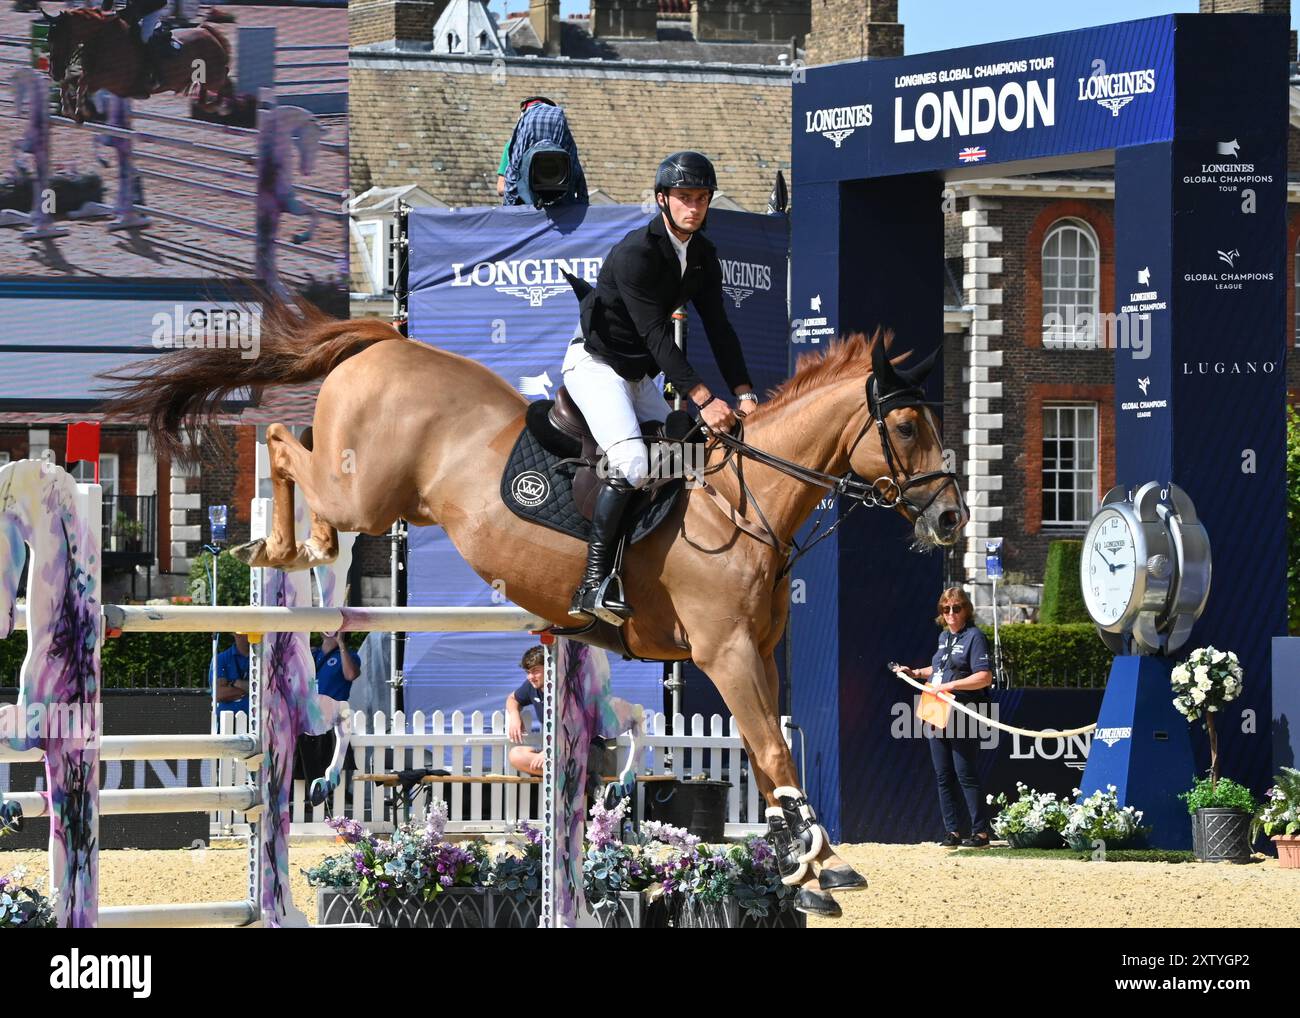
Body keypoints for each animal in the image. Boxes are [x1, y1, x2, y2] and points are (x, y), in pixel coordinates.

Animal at [40, 6, 232, 121]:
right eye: (48, 39)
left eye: (63, 39)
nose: (54, 73)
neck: (104, 40)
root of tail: (207, 31)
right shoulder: (95, 76)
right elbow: (70, 81)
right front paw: (68, 109)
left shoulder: (113, 80)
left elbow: (82, 82)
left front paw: (81, 110)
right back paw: (207, 103)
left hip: (214, 76)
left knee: (225, 80)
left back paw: (220, 107)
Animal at [109, 300, 967, 915]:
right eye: (904, 424)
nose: (952, 520)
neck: (741, 500)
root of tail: (383, 341)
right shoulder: (724, 654)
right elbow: (773, 752)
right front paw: (818, 859)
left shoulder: (752, 656)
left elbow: (767, 750)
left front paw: (806, 866)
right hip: (368, 488)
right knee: (284, 444)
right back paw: (287, 544)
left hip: (386, 495)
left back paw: (296, 545)